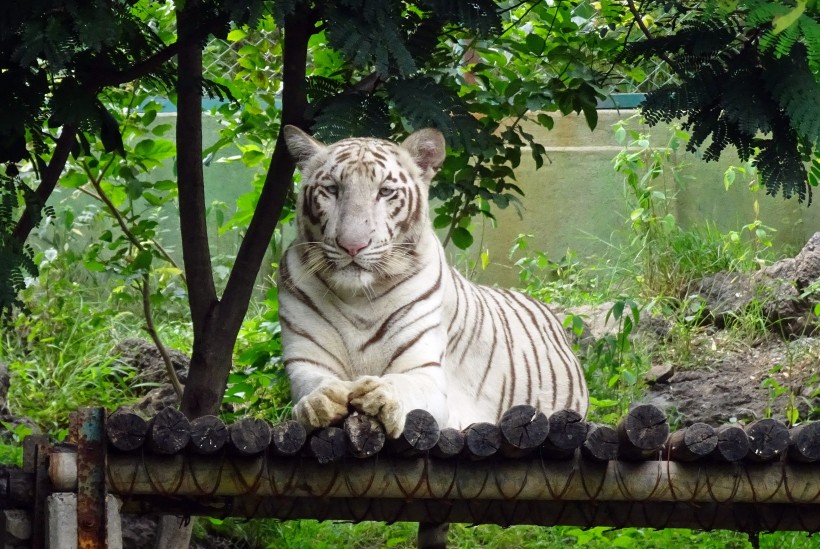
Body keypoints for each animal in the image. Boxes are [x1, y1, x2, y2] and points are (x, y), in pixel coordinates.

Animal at [278, 125, 588, 436]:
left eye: (385, 191)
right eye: (332, 189)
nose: (353, 246)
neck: (358, 297)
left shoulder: (425, 371)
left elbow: (404, 383)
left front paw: (381, 395)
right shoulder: (305, 362)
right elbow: (315, 385)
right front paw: (320, 401)